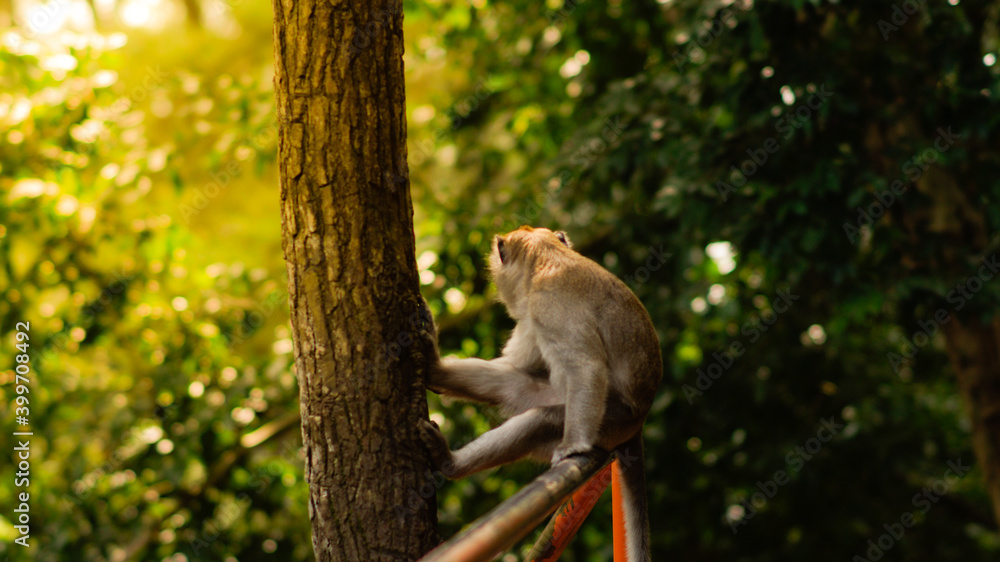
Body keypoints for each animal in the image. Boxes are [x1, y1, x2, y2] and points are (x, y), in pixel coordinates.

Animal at [419, 226, 662, 561]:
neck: (547, 258)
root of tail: (640, 418)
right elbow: (515, 365)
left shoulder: (548, 306)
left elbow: (585, 367)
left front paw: (572, 448)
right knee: (514, 385)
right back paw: (435, 373)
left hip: (610, 421)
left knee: (542, 419)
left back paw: (450, 464)